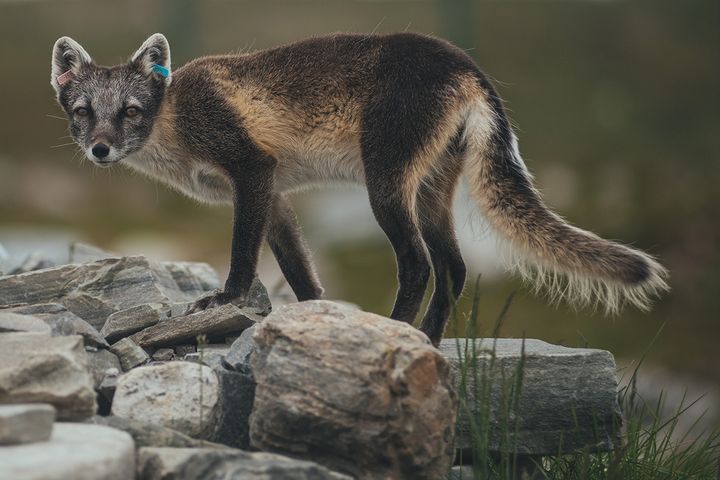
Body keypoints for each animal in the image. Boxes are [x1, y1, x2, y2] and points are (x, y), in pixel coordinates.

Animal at [50, 32, 668, 344]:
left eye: (131, 111)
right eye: (83, 114)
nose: (100, 150)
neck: (174, 118)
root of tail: (468, 66)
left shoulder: (252, 169)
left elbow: (243, 255)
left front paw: (225, 300)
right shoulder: (274, 192)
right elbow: (299, 267)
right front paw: (313, 317)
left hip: (386, 184)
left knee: (418, 264)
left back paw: (395, 331)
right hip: (431, 189)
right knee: (454, 268)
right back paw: (430, 344)